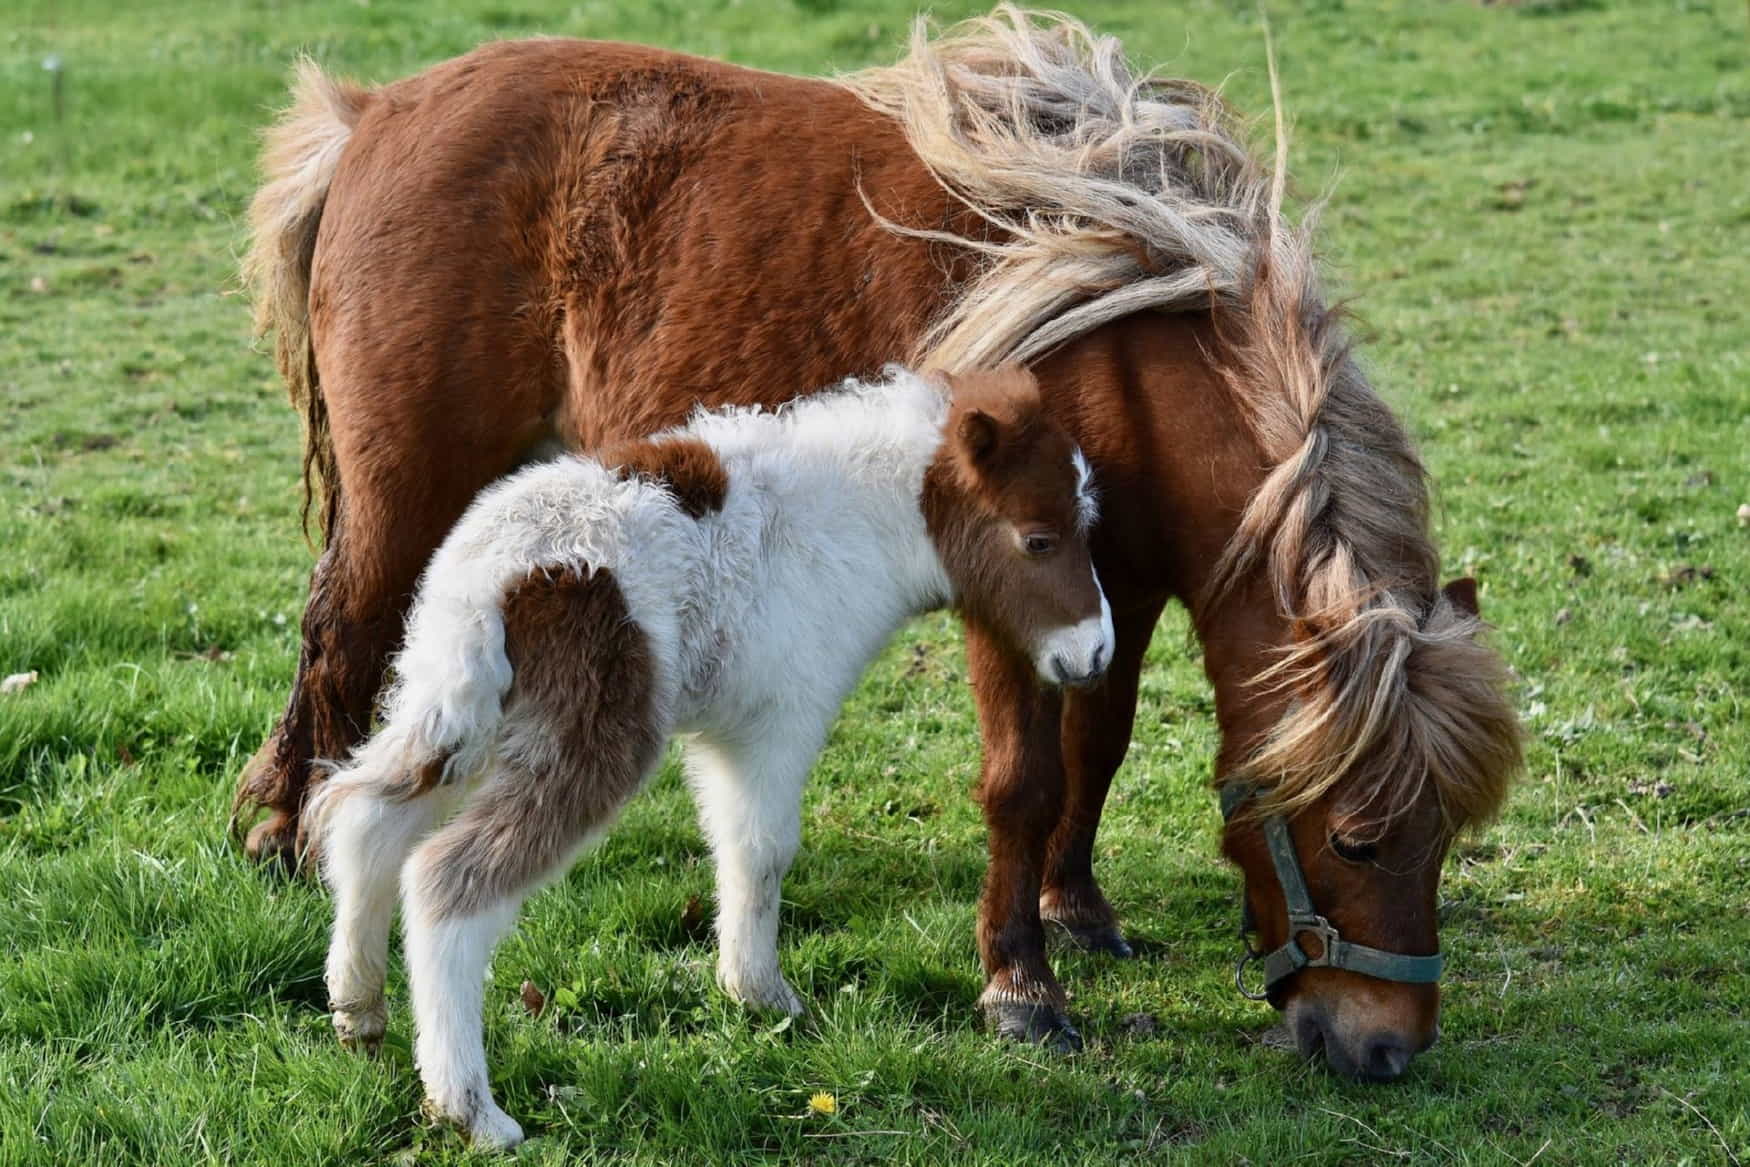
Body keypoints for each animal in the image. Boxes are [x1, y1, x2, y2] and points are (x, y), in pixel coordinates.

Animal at [307, 364, 1111, 1147]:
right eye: (1038, 540)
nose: (1097, 652)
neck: (851, 520)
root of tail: (494, 576)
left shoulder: (727, 737)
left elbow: (732, 848)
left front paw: (747, 993)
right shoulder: (778, 720)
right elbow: (763, 851)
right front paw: (765, 995)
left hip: (455, 703)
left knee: (367, 822)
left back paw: (359, 1013)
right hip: (589, 732)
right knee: (445, 880)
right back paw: (470, 1109)